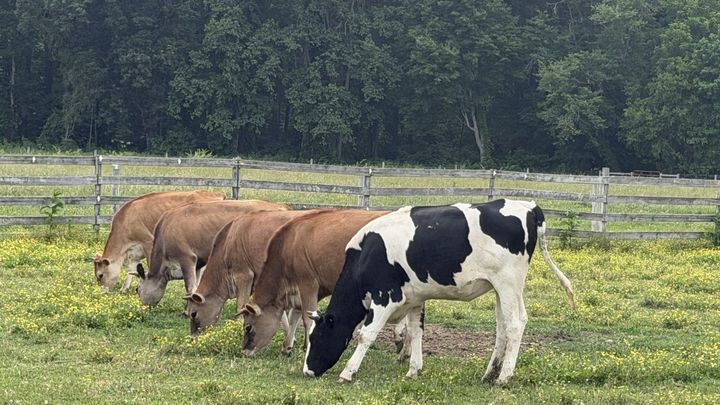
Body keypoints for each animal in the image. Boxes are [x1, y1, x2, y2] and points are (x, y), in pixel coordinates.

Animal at [93, 190, 225, 293]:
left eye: (100, 275)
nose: (101, 291)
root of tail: (214, 193)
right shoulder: (134, 253)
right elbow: (131, 270)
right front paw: (123, 289)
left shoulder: (148, 242)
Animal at [136, 199, 288, 310]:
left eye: (137, 289)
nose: (143, 308)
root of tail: (279, 206)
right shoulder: (198, 264)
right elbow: (195, 288)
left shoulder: (187, 258)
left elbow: (190, 287)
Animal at [238, 209, 394, 356]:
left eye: (248, 327)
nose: (244, 351)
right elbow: (294, 316)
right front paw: (287, 346)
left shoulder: (308, 283)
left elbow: (307, 319)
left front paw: (306, 347)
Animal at [303, 199, 575, 385]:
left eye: (317, 338)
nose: (307, 370)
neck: (367, 253)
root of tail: (527, 205)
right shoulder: (415, 299)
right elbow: (416, 332)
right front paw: (414, 369)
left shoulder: (385, 296)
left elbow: (366, 335)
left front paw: (347, 372)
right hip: (500, 288)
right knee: (502, 328)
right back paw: (489, 373)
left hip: (509, 283)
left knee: (516, 324)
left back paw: (504, 377)